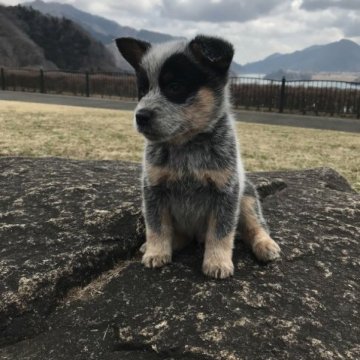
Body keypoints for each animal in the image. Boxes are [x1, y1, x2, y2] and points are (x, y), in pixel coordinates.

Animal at [116, 35, 280, 278]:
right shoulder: (153, 188)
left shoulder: (226, 191)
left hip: (247, 198)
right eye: (142, 90)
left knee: (256, 226)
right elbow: (156, 226)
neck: (187, 147)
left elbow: (221, 232)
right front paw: (156, 252)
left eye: (175, 87)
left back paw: (265, 245)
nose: (141, 116)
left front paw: (218, 262)